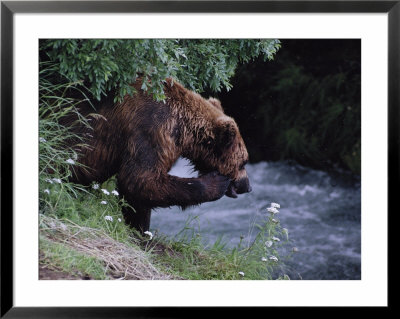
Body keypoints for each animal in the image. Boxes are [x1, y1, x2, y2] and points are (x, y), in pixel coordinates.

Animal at [70, 77, 252, 232]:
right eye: (244, 162)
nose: (248, 186)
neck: (183, 129)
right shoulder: (151, 131)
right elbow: (140, 179)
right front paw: (216, 182)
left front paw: (140, 227)